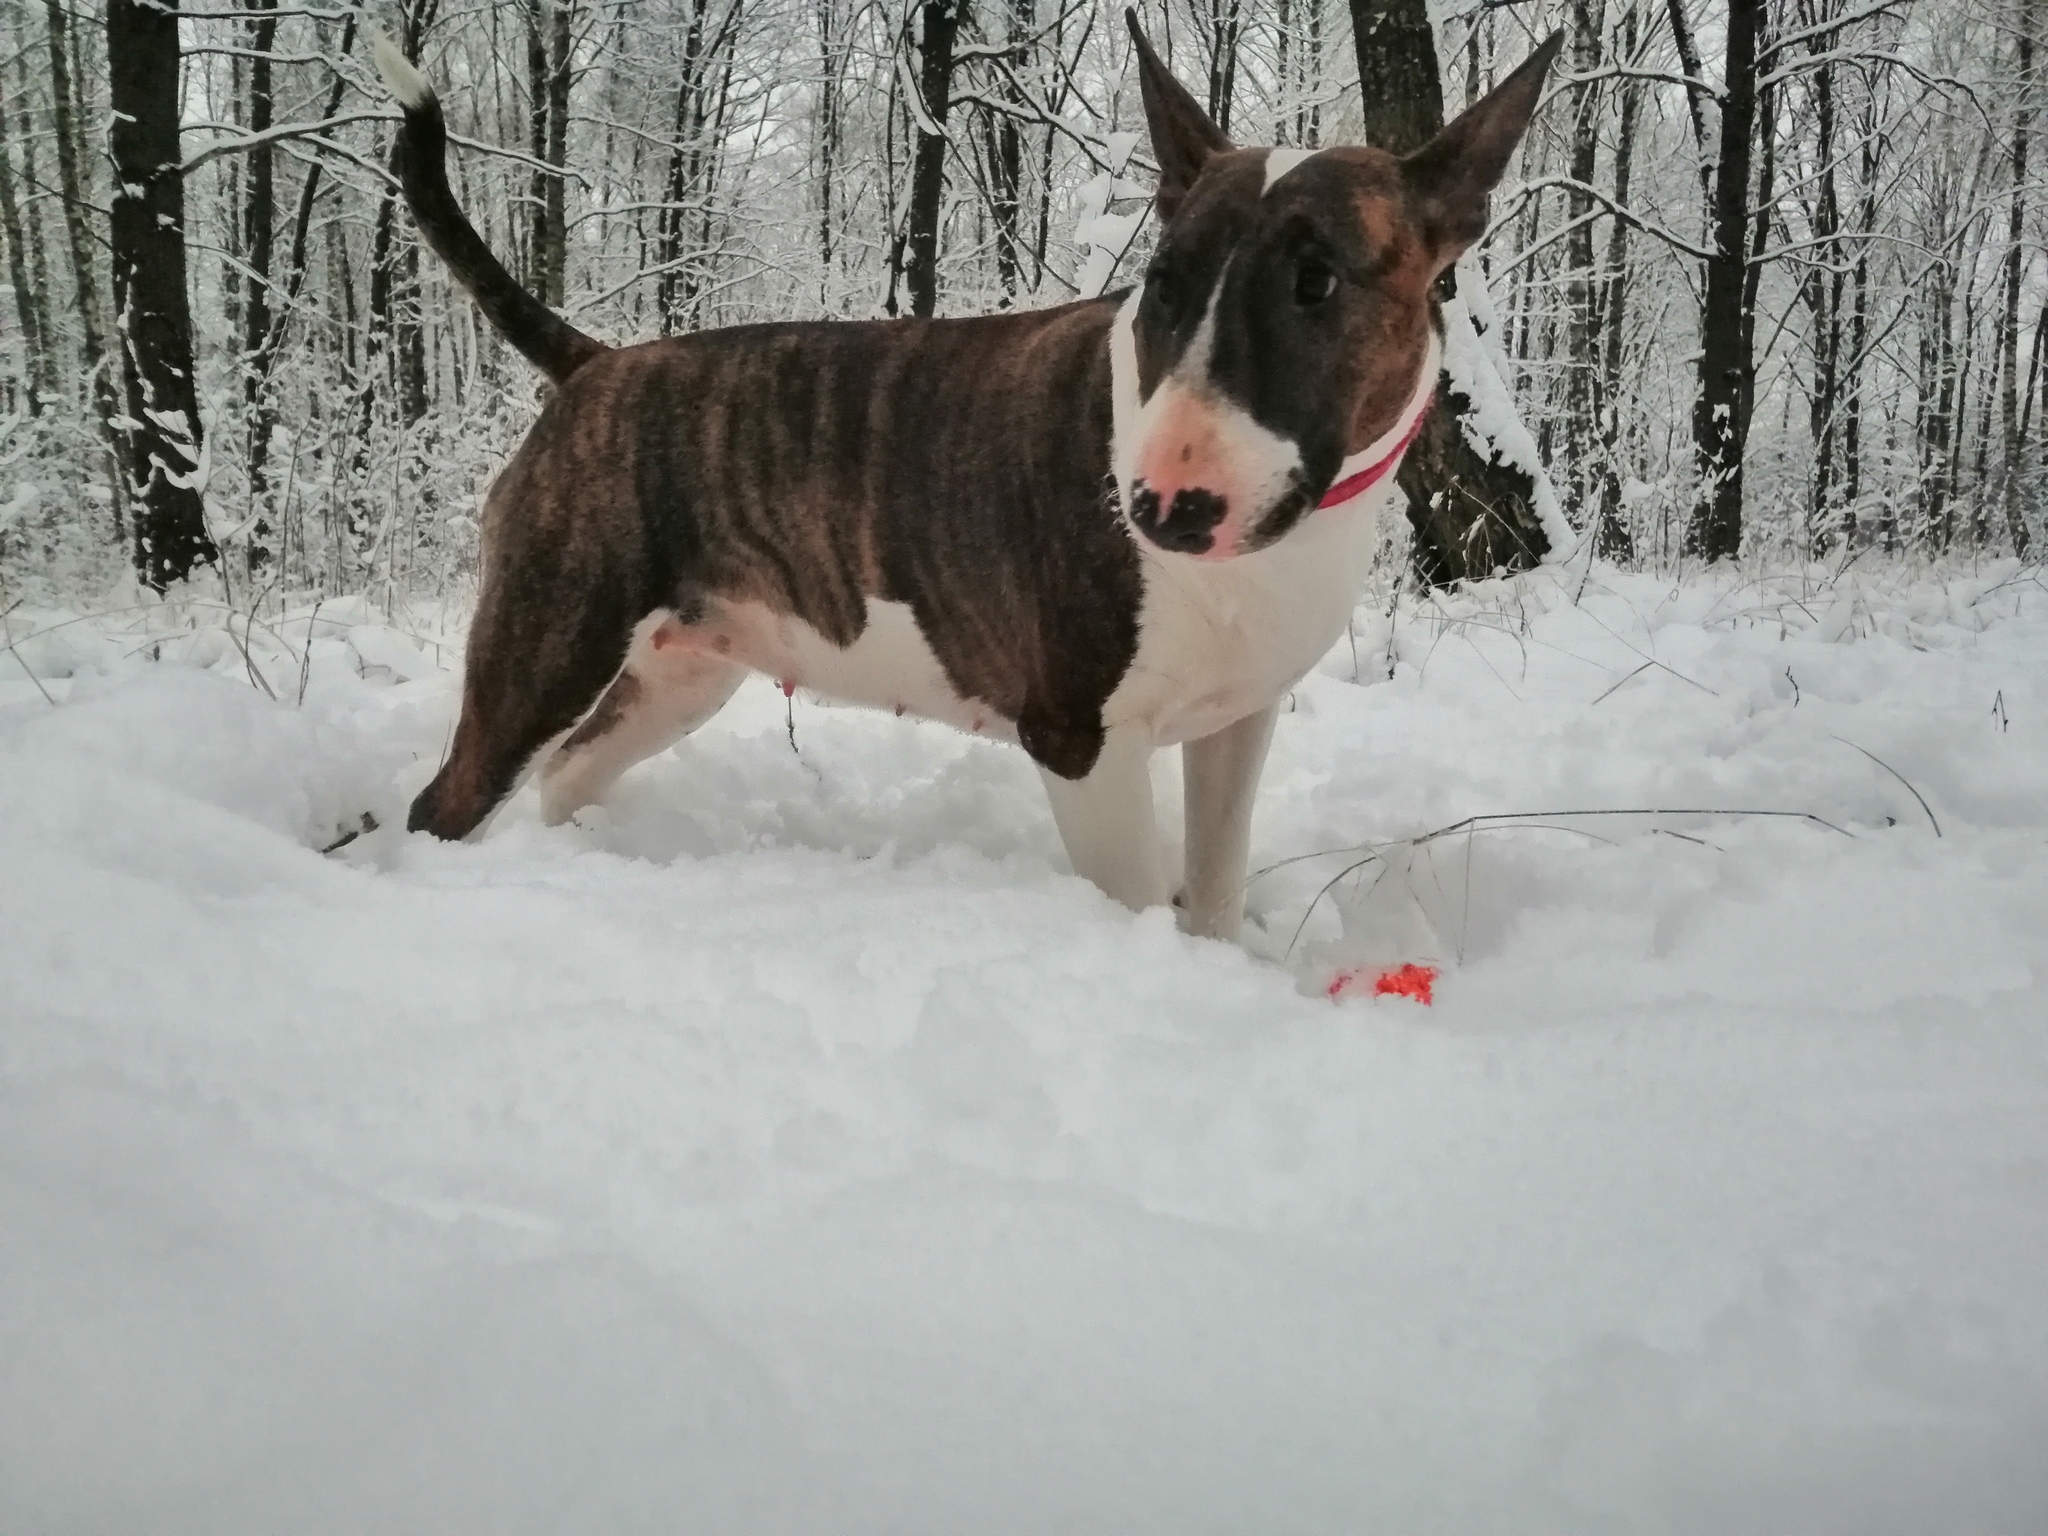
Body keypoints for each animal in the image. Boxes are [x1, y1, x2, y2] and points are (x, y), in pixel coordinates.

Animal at [368, 18, 1556, 946]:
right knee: (447, 798)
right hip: (549, 640)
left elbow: (1214, 890)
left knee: (568, 775)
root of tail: (596, 362)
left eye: (1317, 281)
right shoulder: (1080, 738)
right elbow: (1136, 903)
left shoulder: (1236, 720)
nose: (1159, 509)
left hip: (684, 670)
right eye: (1163, 281)